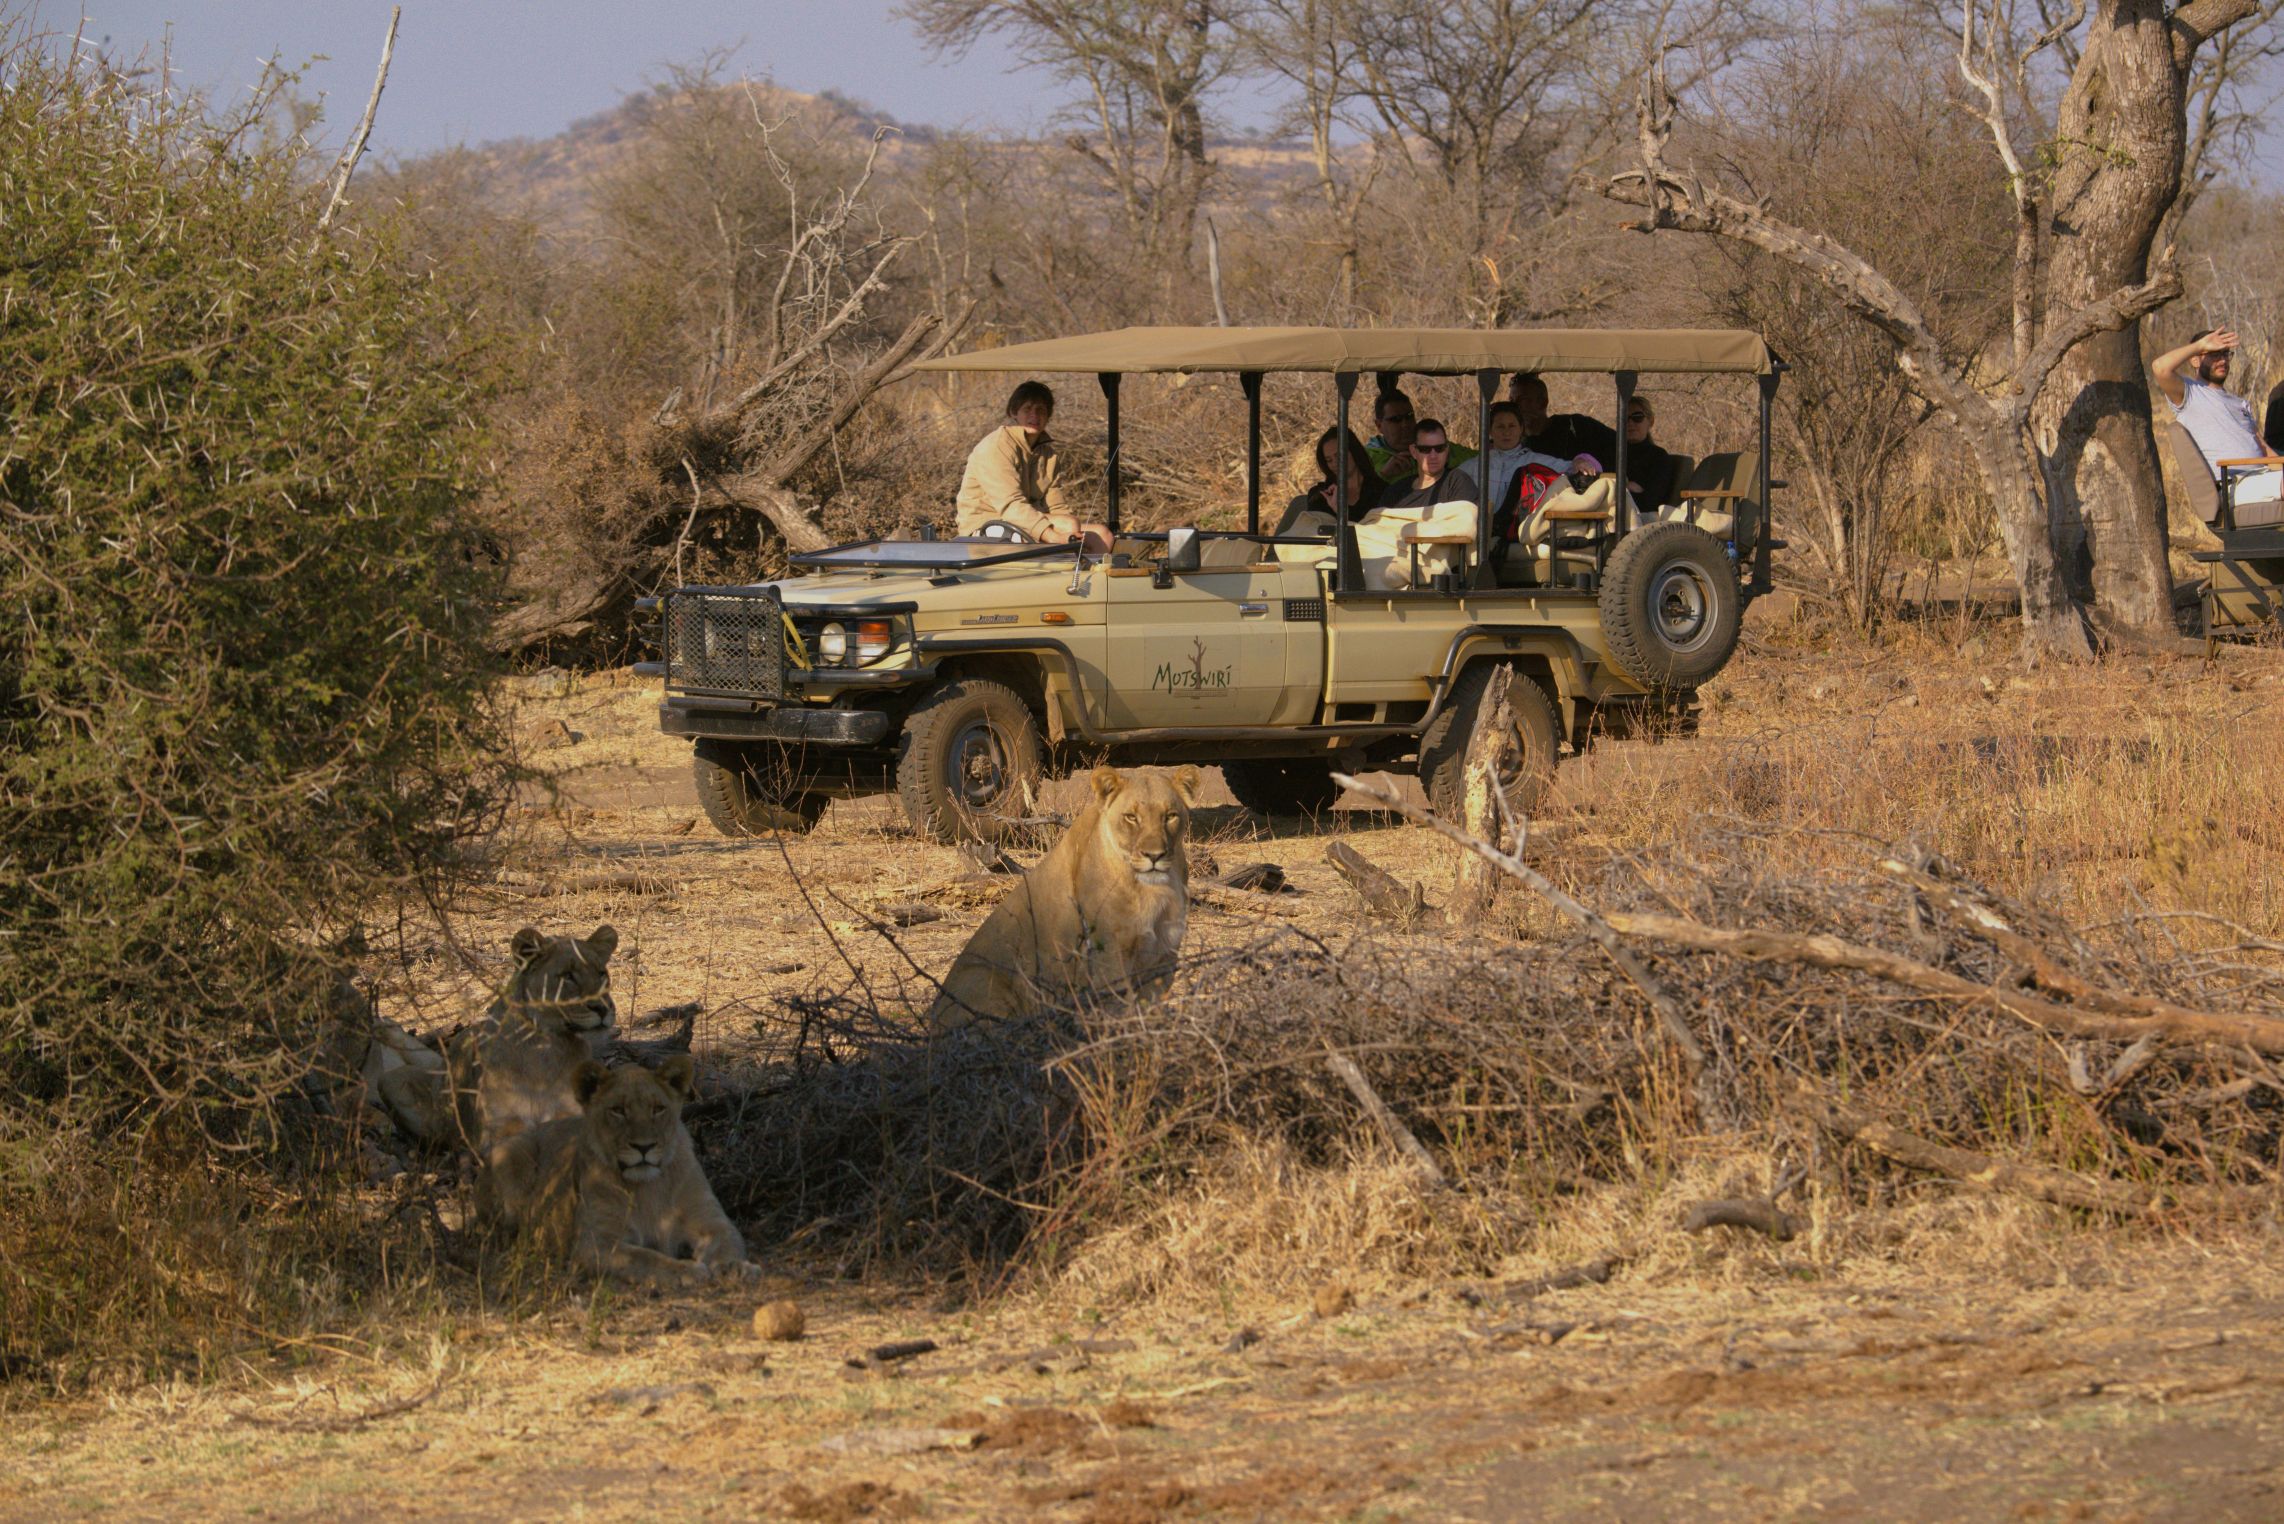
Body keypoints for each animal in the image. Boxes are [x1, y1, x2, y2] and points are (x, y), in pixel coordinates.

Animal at [480, 1055, 753, 1289]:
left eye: (658, 1108)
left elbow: (726, 1242)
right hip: (512, 1153)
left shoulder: (710, 1220)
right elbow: (645, 1259)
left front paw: (735, 1267)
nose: (644, 1146)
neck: (648, 1187)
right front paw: (687, 1271)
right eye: (618, 1110)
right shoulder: (596, 1242)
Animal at [927, 765, 1200, 1031]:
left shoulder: (1164, 955)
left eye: (1170, 816)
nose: (1154, 855)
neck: (1153, 890)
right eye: (1131, 817)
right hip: (988, 978)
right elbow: (1118, 1013)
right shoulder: (1108, 956)